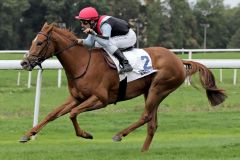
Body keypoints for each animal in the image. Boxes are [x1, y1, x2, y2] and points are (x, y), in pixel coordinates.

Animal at [19, 22, 226, 151]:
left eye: (39, 42)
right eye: (32, 42)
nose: (24, 63)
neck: (83, 63)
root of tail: (178, 59)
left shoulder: (100, 99)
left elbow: (72, 114)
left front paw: (85, 134)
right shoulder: (77, 97)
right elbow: (52, 114)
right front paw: (28, 134)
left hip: (159, 88)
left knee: (146, 116)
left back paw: (119, 135)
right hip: (151, 91)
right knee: (152, 124)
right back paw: (143, 152)